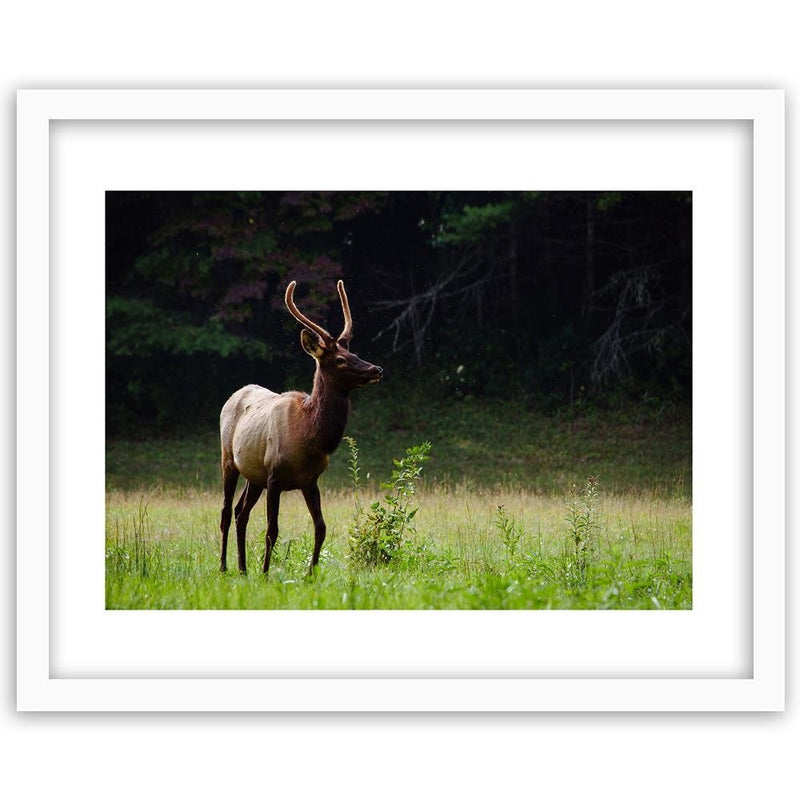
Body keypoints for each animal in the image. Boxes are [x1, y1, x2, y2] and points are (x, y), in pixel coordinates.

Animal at [217, 280, 382, 576]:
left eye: (354, 353)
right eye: (340, 360)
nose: (376, 369)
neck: (308, 438)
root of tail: (234, 394)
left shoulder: (310, 480)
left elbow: (321, 528)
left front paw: (311, 574)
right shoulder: (274, 475)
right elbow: (272, 530)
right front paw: (266, 573)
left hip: (254, 475)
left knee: (240, 512)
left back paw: (243, 568)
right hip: (229, 459)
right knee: (225, 511)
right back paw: (225, 566)